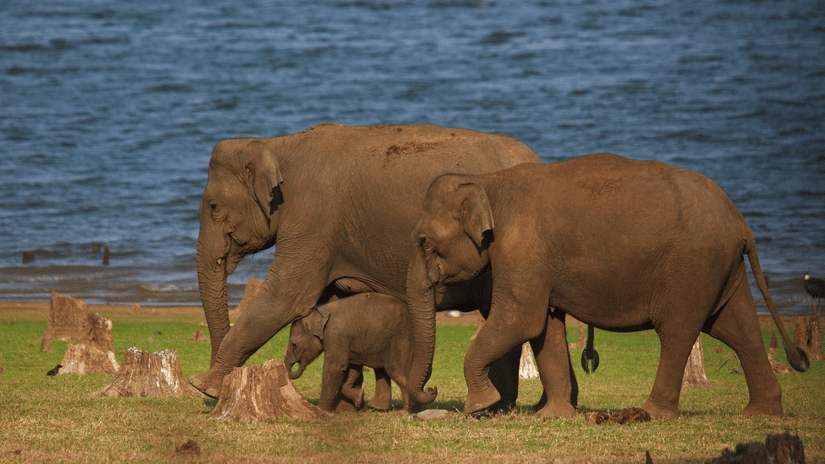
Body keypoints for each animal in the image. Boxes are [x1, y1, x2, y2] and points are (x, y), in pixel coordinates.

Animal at [284, 292, 422, 413]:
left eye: (294, 345)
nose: (300, 366)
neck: (322, 310)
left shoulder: (336, 335)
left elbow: (334, 368)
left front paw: (321, 411)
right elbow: (352, 368)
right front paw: (360, 399)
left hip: (402, 340)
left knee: (399, 374)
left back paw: (406, 412)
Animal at [406, 152, 809, 419]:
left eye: (423, 241)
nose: (432, 389)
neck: (488, 181)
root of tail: (741, 223)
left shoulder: (521, 250)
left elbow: (519, 320)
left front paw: (480, 406)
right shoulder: (538, 263)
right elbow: (545, 327)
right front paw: (554, 417)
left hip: (693, 266)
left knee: (678, 331)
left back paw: (652, 413)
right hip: (721, 267)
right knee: (738, 327)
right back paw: (760, 414)